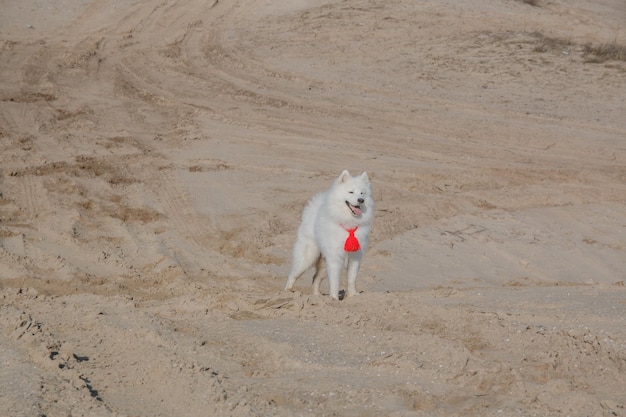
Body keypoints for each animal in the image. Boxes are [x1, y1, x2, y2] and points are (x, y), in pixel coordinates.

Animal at [286, 170, 372, 300]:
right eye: (351, 192)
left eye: (362, 193)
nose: (361, 200)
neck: (348, 223)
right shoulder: (335, 258)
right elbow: (335, 282)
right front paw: (334, 299)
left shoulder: (355, 256)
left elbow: (352, 278)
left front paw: (352, 296)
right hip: (308, 257)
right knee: (293, 274)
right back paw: (287, 292)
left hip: (323, 264)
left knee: (315, 278)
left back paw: (317, 297)